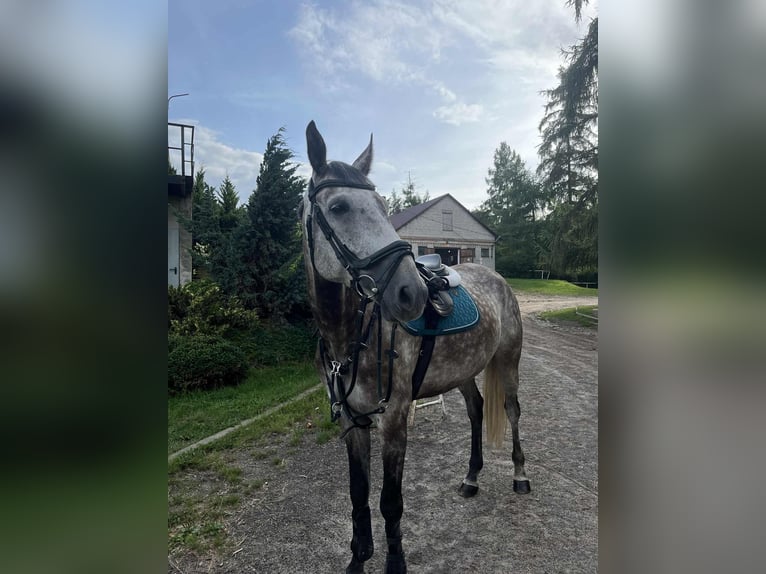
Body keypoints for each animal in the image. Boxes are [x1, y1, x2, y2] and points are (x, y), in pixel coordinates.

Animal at [299, 121, 530, 574]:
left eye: (382, 203)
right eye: (339, 207)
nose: (412, 293)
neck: (351, 334)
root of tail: (497, 278)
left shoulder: (394, 419)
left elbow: (390, 501)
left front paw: (395, 563)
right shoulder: (352, 421)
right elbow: (357, 496)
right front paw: (358, 559)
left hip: (508, 361)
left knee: (511, 410)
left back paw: (519, 476)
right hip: (463, 370)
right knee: (477, 410)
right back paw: (471, 478)